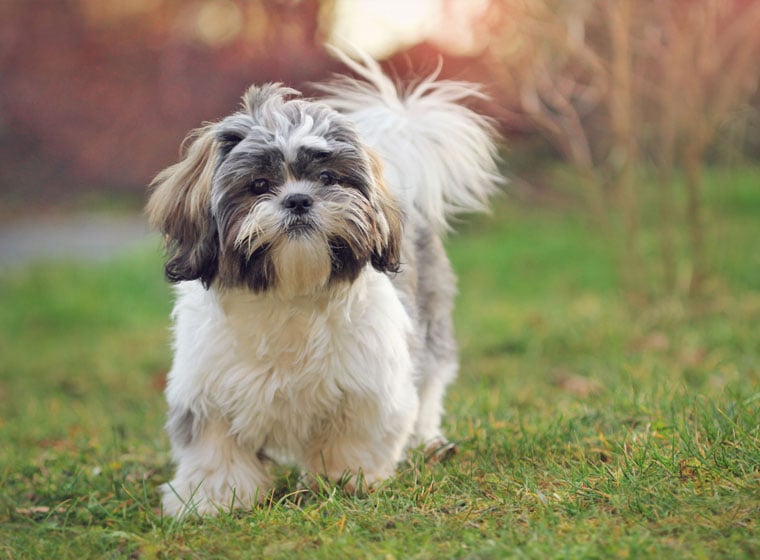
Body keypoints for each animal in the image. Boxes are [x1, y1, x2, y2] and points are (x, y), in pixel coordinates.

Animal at [148, 49, 504, 516]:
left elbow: (354, 437)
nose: (298, 199)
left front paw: (346, 479)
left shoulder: (370, 384)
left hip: (431, 329)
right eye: (259, 185)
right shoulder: (206, 390)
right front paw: (212, 499)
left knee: (429, 389)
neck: (289, 294)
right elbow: (215, 450)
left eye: (329, 179)